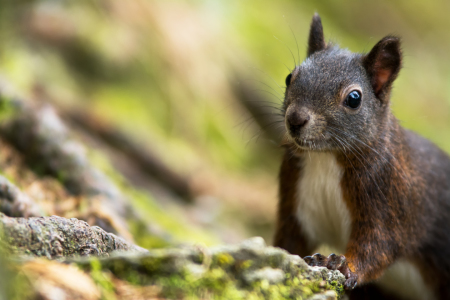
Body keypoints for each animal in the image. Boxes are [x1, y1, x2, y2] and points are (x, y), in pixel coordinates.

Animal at [272, 12, 450, 298]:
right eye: (290, 77)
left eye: (354, 98)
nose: (295, 119)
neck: (326, 158)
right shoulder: (295, 196)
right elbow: (290, 240)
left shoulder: (391, 201)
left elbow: (378, 246)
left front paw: (341, 265)